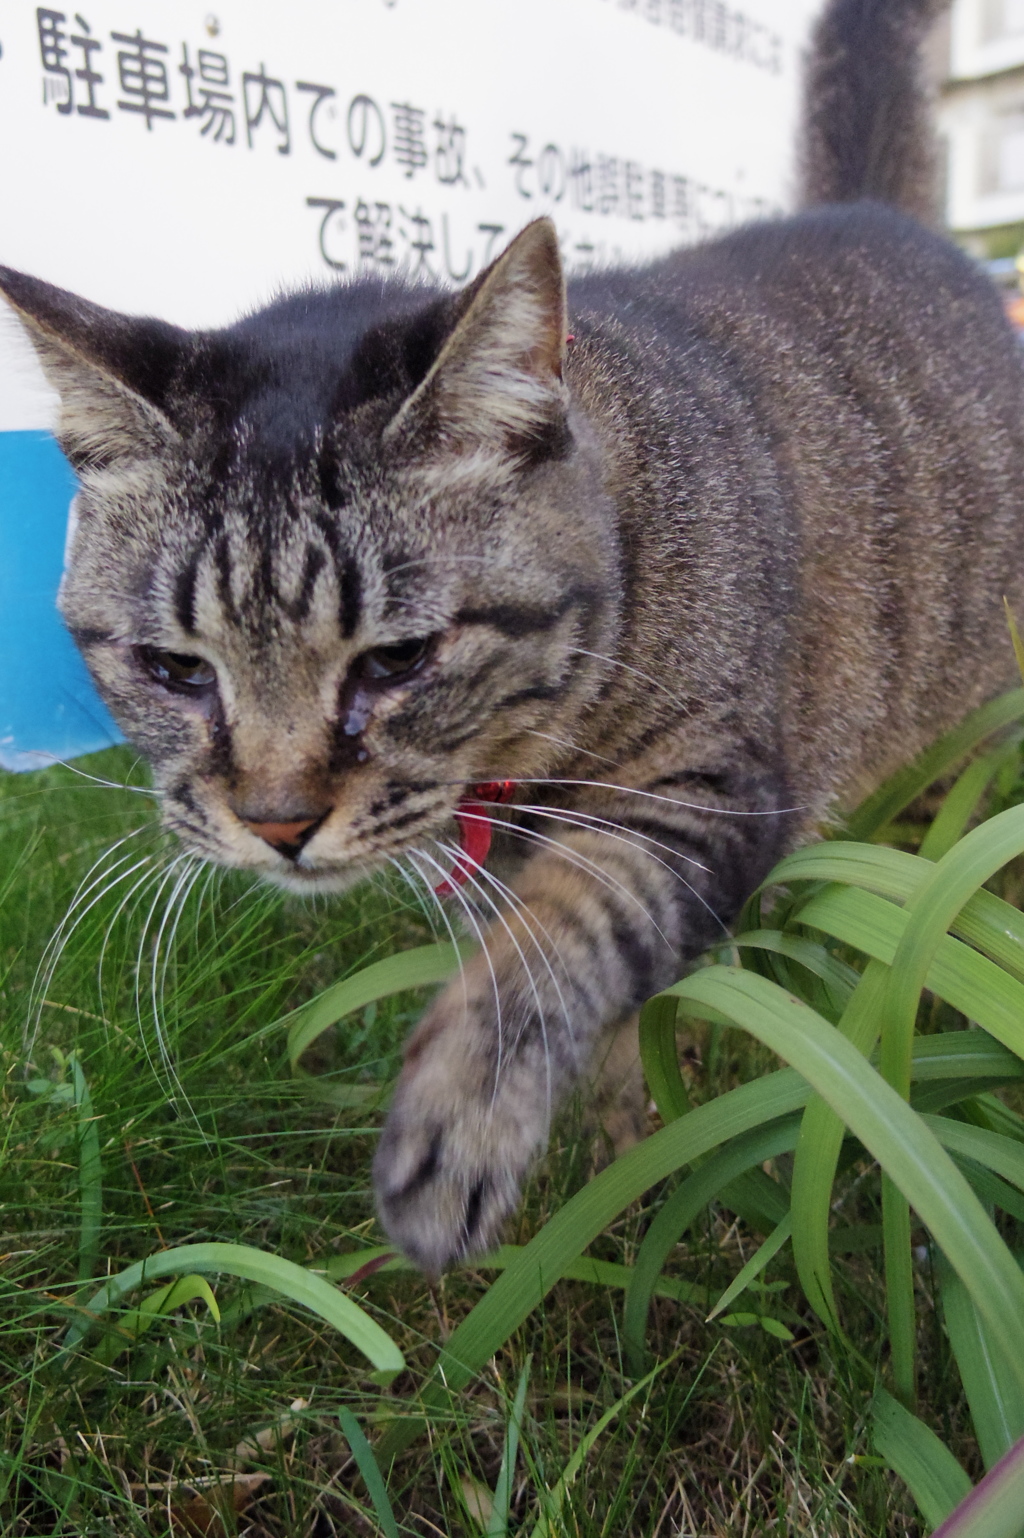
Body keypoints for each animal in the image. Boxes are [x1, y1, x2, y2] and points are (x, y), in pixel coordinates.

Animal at [3, 0, 1014, 1273]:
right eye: (176, 670)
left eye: (395, 659)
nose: (276, 824)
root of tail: (875, 214)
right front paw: (619, 1158)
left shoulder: (707, 788)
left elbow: (566, 933)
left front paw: (471, 1119)